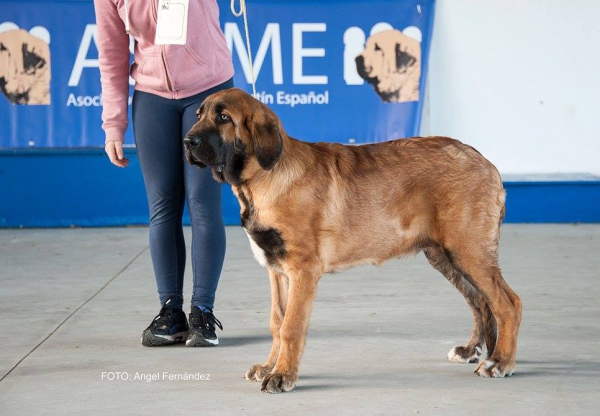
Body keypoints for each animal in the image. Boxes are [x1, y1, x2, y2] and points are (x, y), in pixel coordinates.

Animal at [183, 87, 520, 394]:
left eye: (224, 118)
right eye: (198, 115)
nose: (187, 142)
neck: (263, 179)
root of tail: (486, 163)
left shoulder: (303, 269)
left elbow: (291, 326)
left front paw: (282, 375)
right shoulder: (276, 269)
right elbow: (277, 322)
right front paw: (269, 366)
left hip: (468, 249)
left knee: (507, 302)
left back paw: (500, 361)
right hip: (445, 255)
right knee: (480, 301)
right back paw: (473, 350)